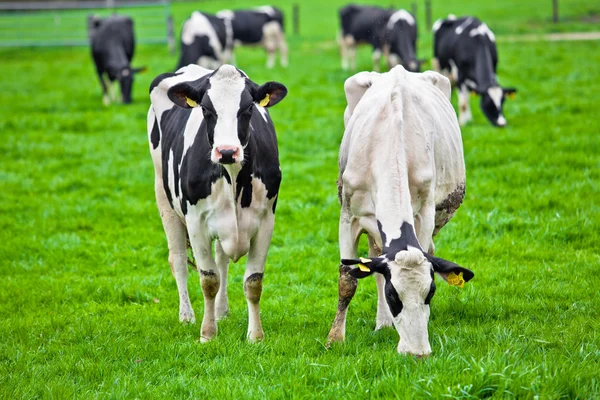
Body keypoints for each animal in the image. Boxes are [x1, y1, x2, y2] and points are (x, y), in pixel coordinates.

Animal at [150, 64, 290, 342]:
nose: (226, 151)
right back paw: (187, 316)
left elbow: (253, 282)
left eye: (248, 109)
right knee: (178, 260)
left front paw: (255, 336)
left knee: (222, 259)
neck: (233, 177)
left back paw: (221, 311)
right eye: (206, 109)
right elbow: (209, 280)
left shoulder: (266, 222)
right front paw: (207, 333)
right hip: (164, 197)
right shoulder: (196, 223)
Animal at [328, 65, 474, 356]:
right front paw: (335, 339)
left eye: (430, 292)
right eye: (393, 294)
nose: (417, 353)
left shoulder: (425, 214)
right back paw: (383, 323)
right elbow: (348, 280)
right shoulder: (349, 216)